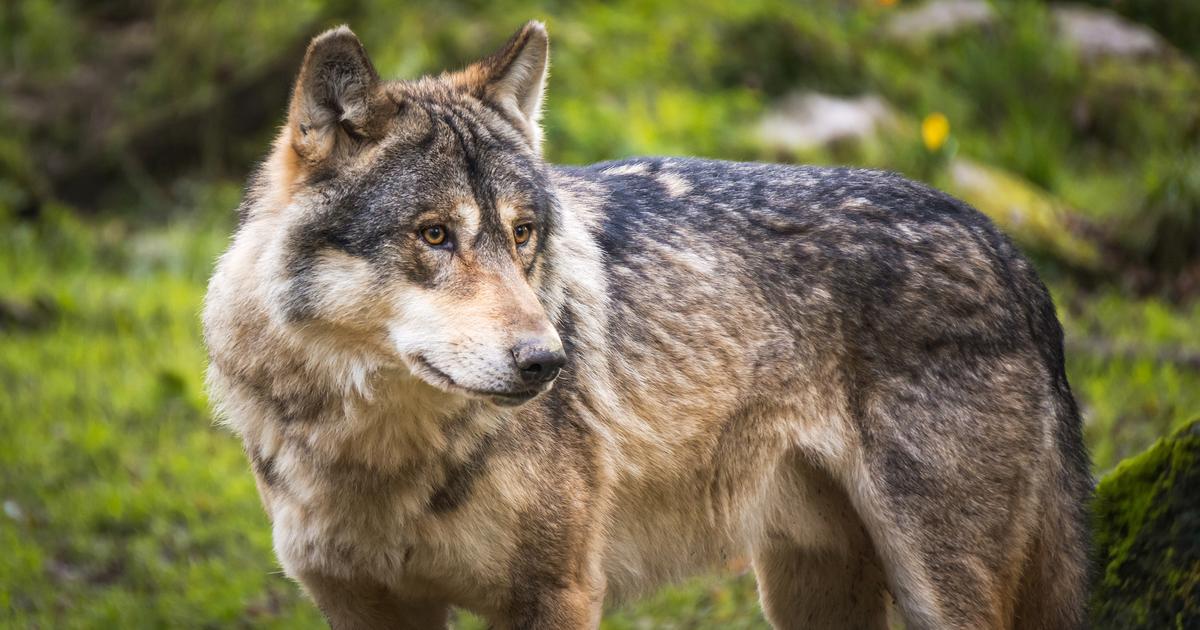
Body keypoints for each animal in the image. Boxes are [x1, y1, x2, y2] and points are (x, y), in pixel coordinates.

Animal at [203, 20, 1093, 629]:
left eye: (523, 234)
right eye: (433, 235)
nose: (547, 362)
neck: (375, 450)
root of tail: (1007, 247)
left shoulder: (557, 593)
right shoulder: (363, 603)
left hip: (934, 585)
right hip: (808, 585)